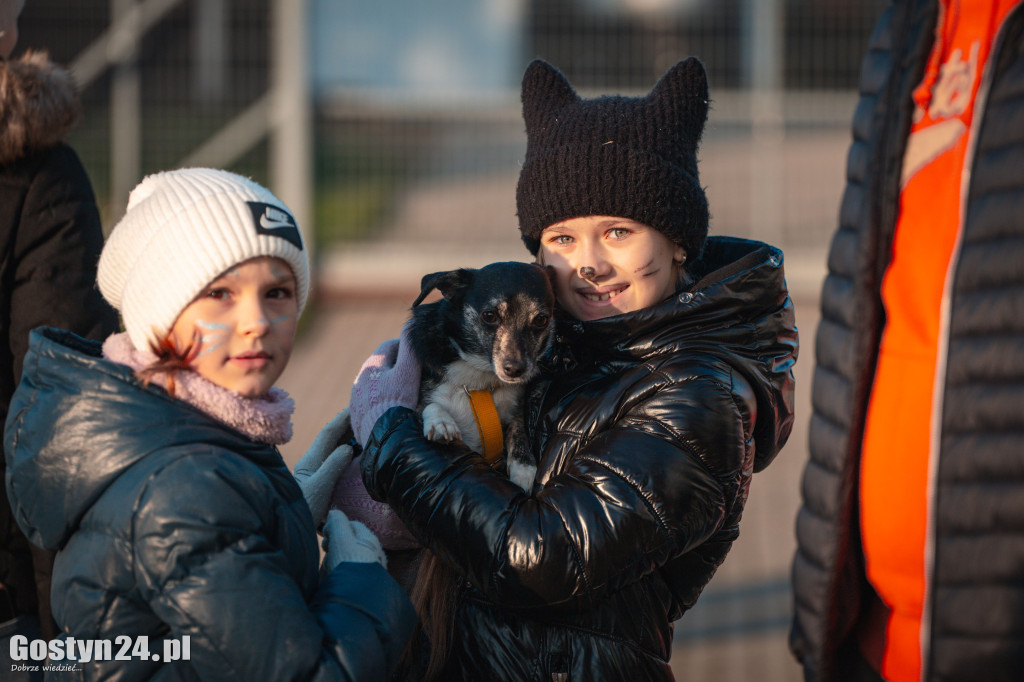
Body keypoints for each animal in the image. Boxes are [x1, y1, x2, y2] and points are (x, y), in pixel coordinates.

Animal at [407, 260, 557, 489]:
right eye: (489, 316)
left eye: (541, 320)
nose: (515, 369)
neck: (479, 378)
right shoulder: (416, 404)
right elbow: (429, 405)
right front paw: (441, 422)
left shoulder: (514, 408)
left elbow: (518, 428)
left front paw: (524, 468)